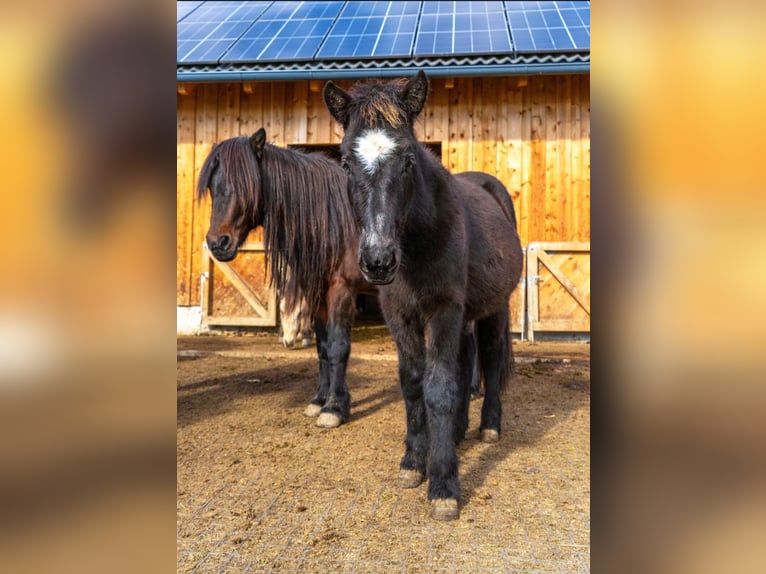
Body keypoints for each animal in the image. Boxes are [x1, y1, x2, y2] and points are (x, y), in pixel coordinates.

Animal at [323, 71, 523, 520]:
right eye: (345, 162)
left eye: (409, 161)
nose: (378, 260)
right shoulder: (401, 316)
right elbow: (414, 384)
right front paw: (415, 461)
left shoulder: (443, 312)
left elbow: (440, 388)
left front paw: (444, 483)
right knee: (467, 361)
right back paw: (460, 431)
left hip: (494, 310)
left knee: (489, 357)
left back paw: (488, 426)